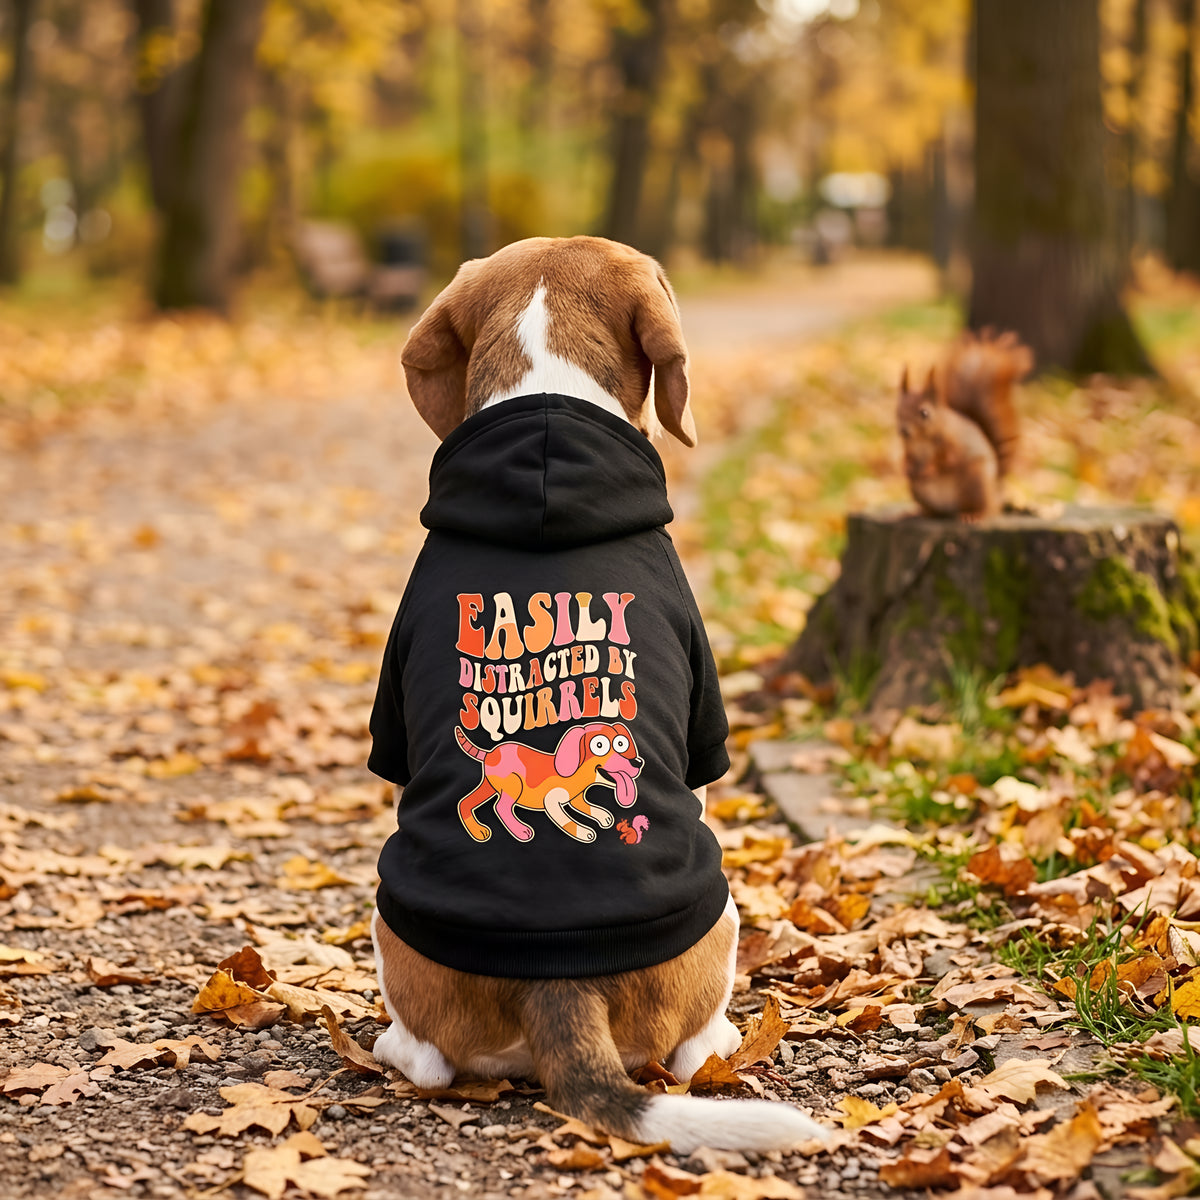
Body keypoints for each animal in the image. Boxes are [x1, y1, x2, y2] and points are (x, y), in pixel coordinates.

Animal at [896, 329, 1032, 521]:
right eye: (897, 411)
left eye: (924, 413)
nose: (904, 431)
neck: (923, 438)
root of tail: (995, 495)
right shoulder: (910, 447)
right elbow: (908, 456)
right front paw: (904, 466)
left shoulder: (954, 443)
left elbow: (948, 459)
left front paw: (930, 468)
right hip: (918, 491)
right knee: (932, 512)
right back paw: (915, 512)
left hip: (974, 482)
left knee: (983, 509)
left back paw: (974, 514)